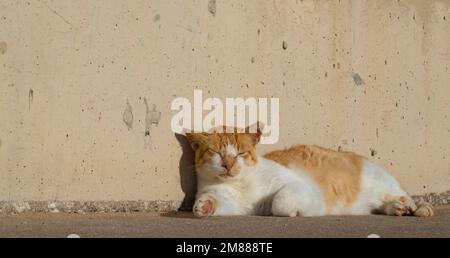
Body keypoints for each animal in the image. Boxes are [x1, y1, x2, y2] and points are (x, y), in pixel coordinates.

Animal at [185, 124, 434, 217]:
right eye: (216, 153)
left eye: (239, 153)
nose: (228, 164)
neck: (241, 185)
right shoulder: (232, 203)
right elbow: (216, 204)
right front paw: (204, 206)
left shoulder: (295, 185)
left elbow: (280, 202)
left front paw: (294, 211)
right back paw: (395, 209)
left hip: (379, 181)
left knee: (400, 194)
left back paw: (406, 205)